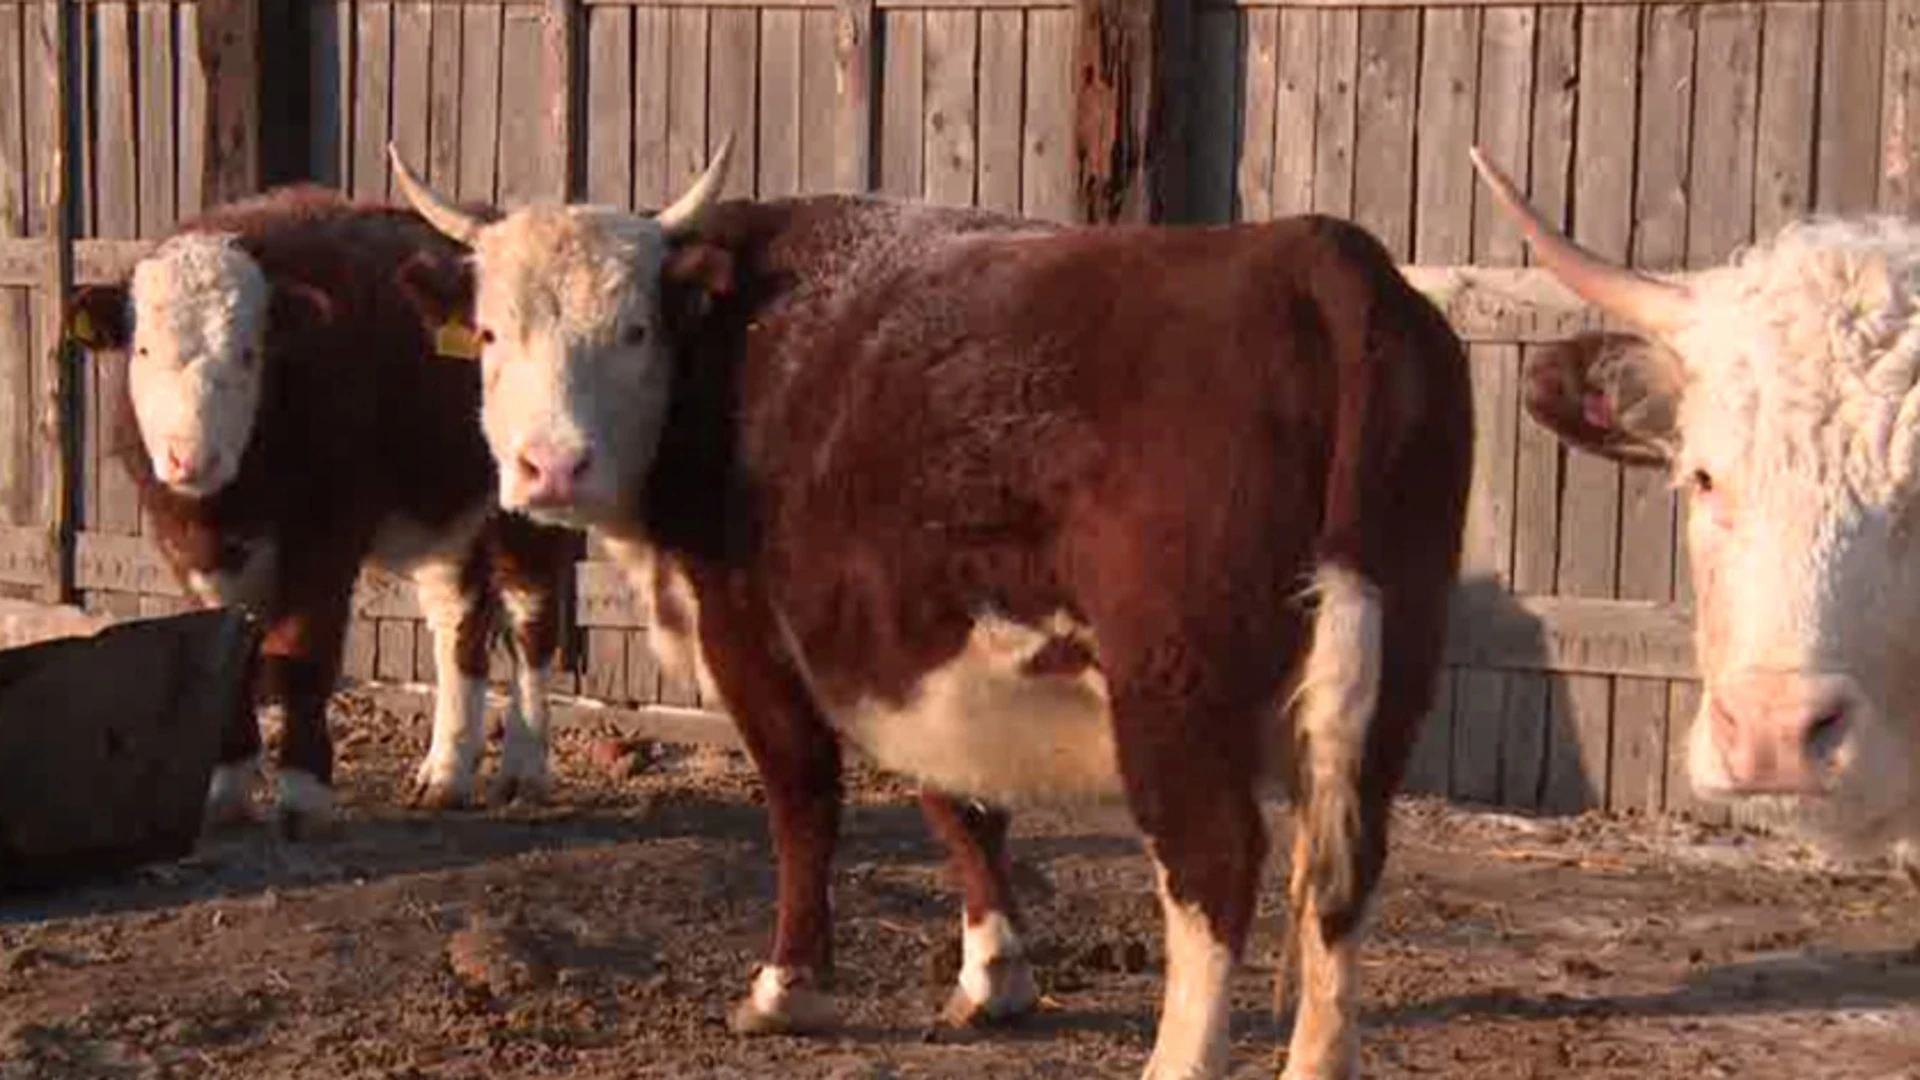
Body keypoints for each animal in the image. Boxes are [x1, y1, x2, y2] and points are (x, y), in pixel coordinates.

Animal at [67, 184, 576, 834]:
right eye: (144, 348)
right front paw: (226, 793)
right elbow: (229, 655)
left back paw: (523, 771)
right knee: (458, 623)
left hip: (531, 504)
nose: (188, 457)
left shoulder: (327, 532)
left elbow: (301, 653)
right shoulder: (189, 545)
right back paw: (445, 774)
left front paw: (303, 795)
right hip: (446, 514)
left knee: (532, 616)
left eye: (249, 353)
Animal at [385, 138, 1466, 1068]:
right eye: (491, 331)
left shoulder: (751, 629)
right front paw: (993, 976)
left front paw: (788, 987)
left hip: (1174, 691)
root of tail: (1315, 256)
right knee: (1345, 876)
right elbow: (960, 802)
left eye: (634, 328)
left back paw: (1177, 1058)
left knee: (1216, 863)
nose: (550, 466)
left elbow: (804, 795)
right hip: (1391, 670)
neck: (736, 352)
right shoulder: (914, 638)